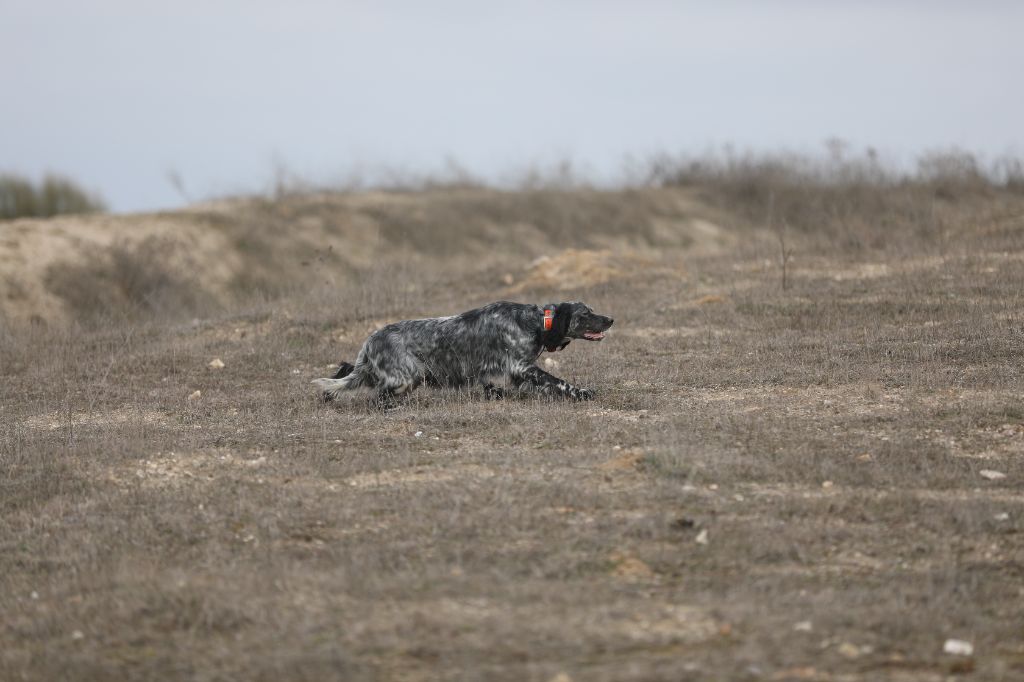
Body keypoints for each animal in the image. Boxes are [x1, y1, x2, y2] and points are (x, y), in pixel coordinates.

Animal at [311, 301, 610, 405]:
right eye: (586, 313)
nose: (611, 319)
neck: (534, 321)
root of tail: (370, 340)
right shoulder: (521, 366)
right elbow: (557, 381)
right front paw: (583, 392)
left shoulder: (513, 371)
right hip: (406, 377)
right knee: (377, 396)